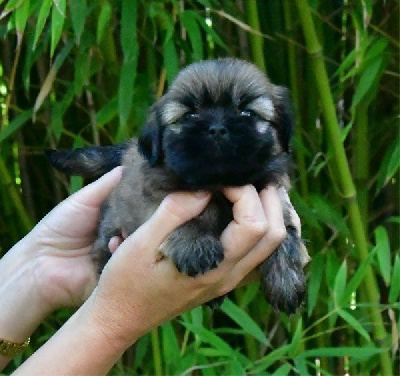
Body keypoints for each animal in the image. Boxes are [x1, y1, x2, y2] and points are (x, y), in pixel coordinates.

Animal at [47, 57, 310, 312]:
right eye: (190, 115)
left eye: (247, 112)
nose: (217, 128)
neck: (218, 184)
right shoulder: (156, 198)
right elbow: (185, 216)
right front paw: (194, 243)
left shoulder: (275, 201)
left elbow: (286, 236)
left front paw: (286, 281)